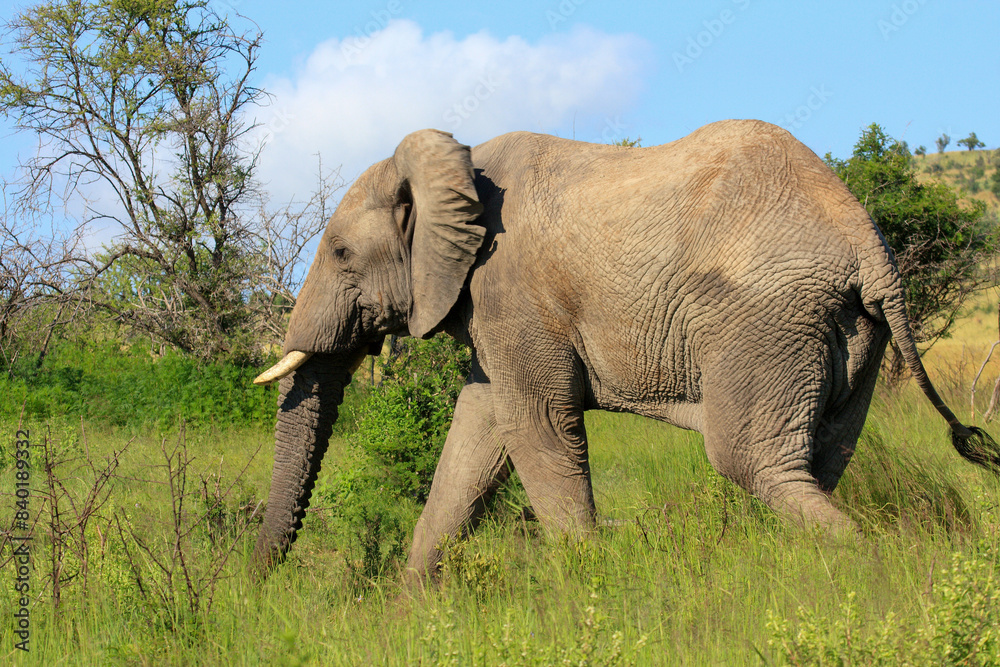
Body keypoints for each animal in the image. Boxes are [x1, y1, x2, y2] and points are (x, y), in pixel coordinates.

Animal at [250, 120, 1000, 580]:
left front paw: (590, 589)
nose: (258, 588)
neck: (455, 163)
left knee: (752, 460)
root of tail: (865, 239)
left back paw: (864, 563)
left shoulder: (512, 294)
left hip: (766, 317)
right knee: (824, 454)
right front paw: (411, 610)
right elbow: (478, 434)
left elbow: (538, 427)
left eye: (340, 254)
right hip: (850, 330)